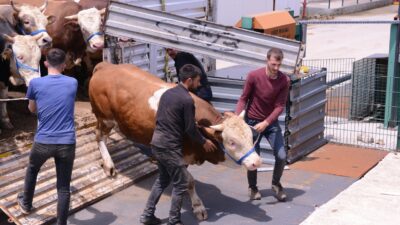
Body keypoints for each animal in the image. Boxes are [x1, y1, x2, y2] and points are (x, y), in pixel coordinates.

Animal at [88, 62, 262, 220]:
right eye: (232, 142)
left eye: (250, 136)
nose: (257, 162)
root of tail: (106, 66)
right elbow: (189, 181)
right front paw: (198, 206)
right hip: (105, 118)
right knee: (98, 135)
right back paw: (109, 165)